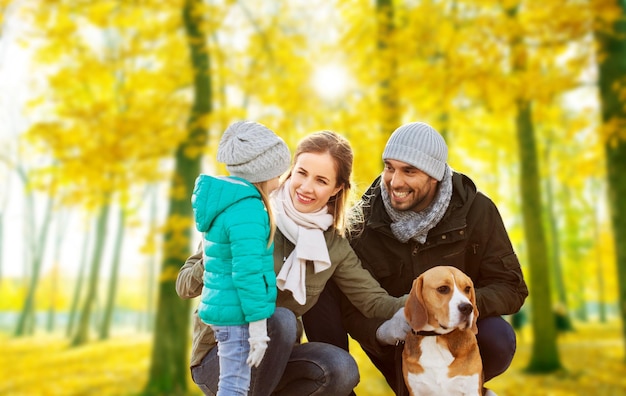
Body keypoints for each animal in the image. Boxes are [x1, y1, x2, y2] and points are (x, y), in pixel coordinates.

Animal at [402, 266, 480, 396]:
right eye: (443, 289)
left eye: (467, 288)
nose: (468, 308)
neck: (436, 336)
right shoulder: (417, 390)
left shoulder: (472, 388)